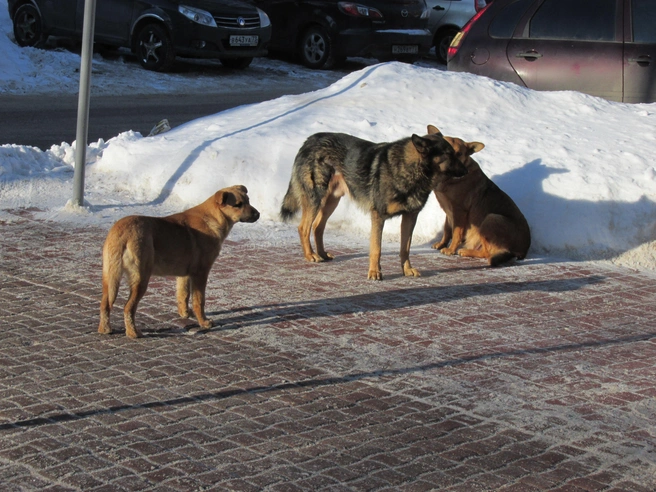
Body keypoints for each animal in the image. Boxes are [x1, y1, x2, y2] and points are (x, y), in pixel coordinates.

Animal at [97, 184, 258, 338]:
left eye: (248, 201)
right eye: (238, 204)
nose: (258, 214)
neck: (213, 218)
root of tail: (122, 233)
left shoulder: (184, 274)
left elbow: (183, 295)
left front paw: (185, 314)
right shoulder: (201, 273)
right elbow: (199, 301)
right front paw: (204, 322)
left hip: (109, 276)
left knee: (105, 304)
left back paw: (105, 329)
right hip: (140, 278)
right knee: (128, 308)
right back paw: (133, 333)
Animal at [434, 136, 532, 268]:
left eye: (459, 154)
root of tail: (523, 251)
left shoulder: (459, 211)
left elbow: (456, 233)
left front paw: (450, 249)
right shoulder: (449, 212)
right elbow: (447, 230)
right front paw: (442, 244)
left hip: (491, 218)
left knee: (487, 253)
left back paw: (466, 251)